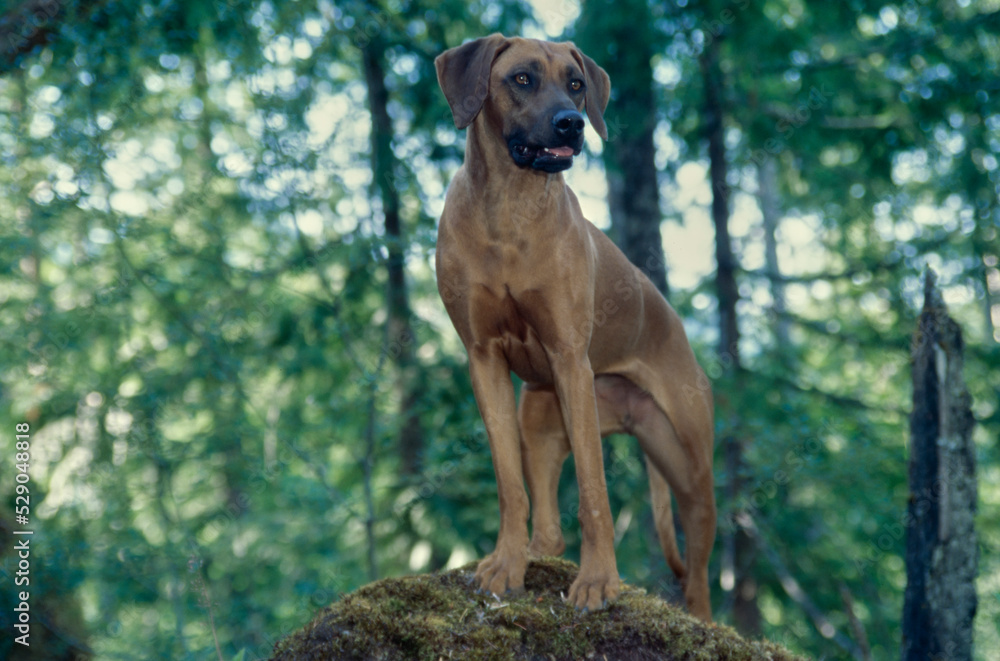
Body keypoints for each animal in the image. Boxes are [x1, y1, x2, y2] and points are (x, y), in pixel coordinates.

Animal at [434, 32, 716, 620]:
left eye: (577, 83)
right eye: (521, 78)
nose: (572, 123)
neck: (509, 211)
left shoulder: (569, 361)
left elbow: (594, 492)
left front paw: (598, 582)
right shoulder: (483, 359)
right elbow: (509, 486)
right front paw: (505, 566)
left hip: (691, 466)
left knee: (699, 576)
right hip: (539, 417)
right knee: (549, 526)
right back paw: (533, 554)